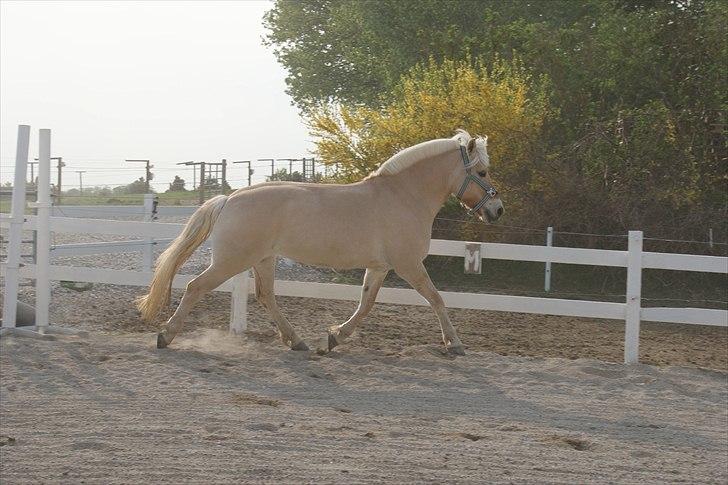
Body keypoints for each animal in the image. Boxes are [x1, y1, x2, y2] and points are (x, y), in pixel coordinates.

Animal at [139, 130, 504, 354]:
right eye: (482, 173)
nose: (497, 210)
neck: (403, 196)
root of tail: (230, 198)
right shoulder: (409, 265)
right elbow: (436, 299)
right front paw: (455, 344)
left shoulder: (379, 267)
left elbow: (366, 303)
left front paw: (334, 337)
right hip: (232, 261)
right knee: (196, 287)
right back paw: (165, 335)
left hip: (262, 259)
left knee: (266, 296)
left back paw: (297, 341)